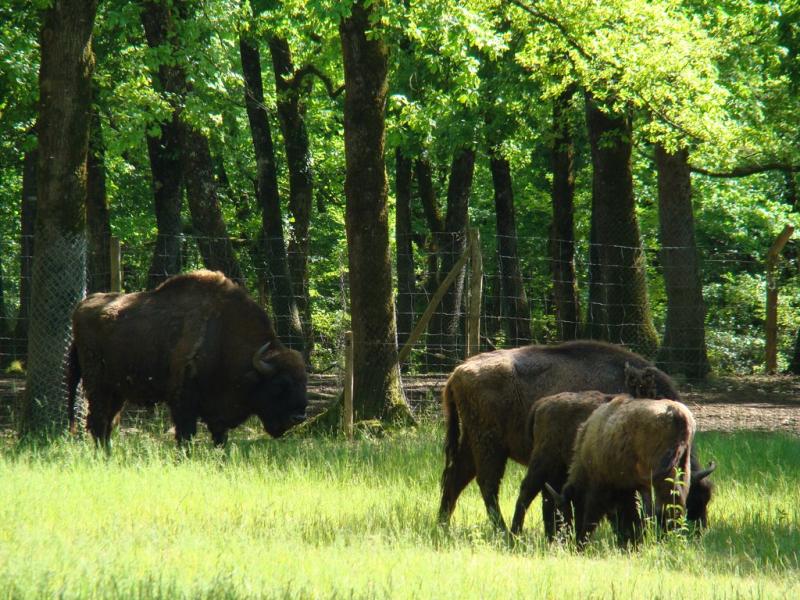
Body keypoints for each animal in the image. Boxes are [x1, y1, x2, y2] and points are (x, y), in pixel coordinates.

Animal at [67, 270, 307, 447]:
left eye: (303, 382)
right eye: (280, 384)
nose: (299, 417)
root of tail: (82, 305)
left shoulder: (217, 412)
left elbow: (220, 438)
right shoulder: (183, 400)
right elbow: (186, 435)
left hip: (117, 391)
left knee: (108, 423)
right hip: (98, 386)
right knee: (98, 422)